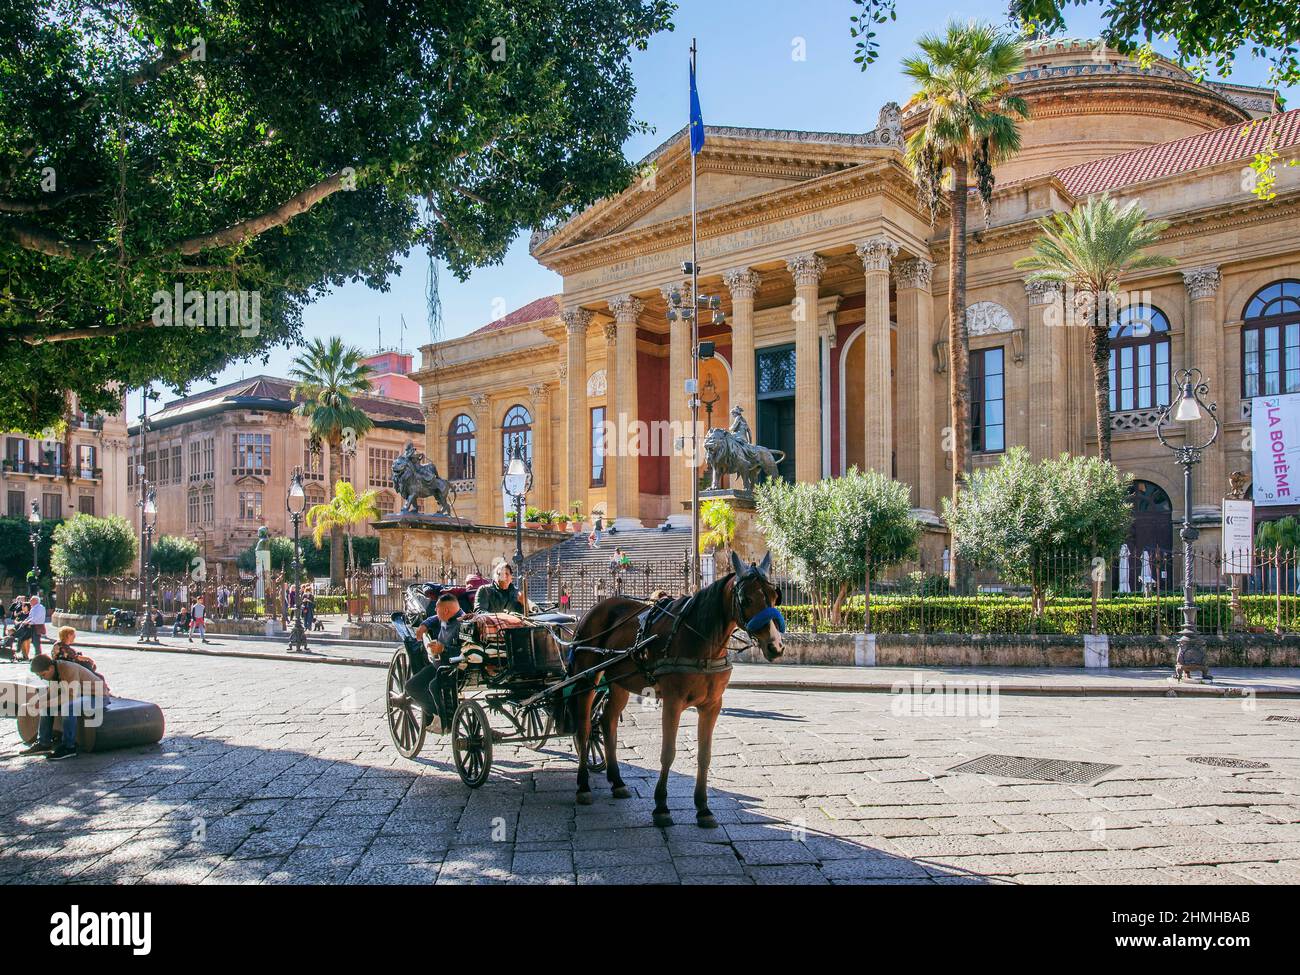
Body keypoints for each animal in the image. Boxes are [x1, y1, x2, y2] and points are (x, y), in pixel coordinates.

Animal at [566, 553, 780, 826]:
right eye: (747, 599)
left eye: (775, 596)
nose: (776, 646)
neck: (702, 641)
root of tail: (593, 609)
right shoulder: (673, 701)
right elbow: (668, 752)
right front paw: (661, 806)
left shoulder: (712, 705)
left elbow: (705, 755)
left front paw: (703, 807)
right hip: (587, 677)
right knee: (584, 728)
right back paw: (583, 785)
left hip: (619, 682)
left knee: (607, 722)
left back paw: (617, 781)